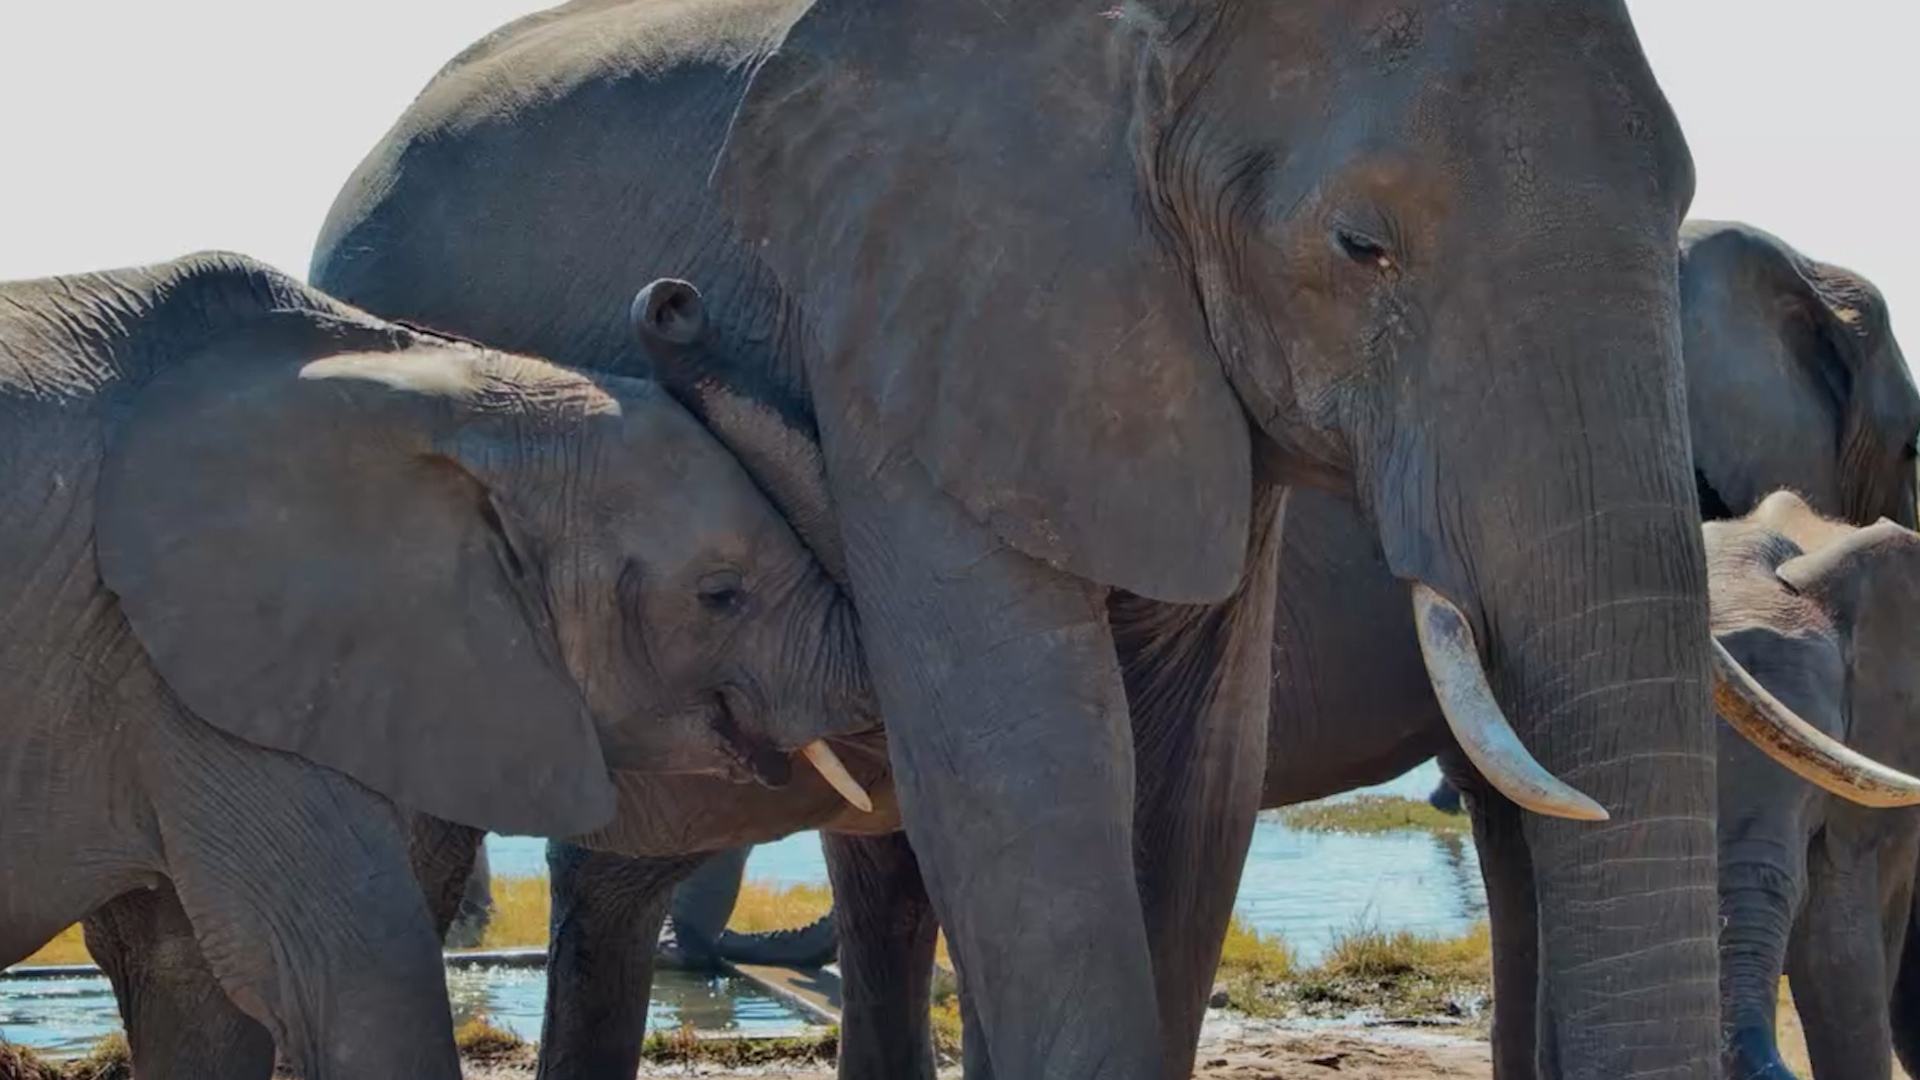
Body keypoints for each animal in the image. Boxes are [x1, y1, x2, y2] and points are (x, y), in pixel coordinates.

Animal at [0, 252, 879, 1080]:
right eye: (720, 595)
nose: (673, 299)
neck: (448, 384)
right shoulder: (198, 678)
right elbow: (360, 982)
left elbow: (192, 998)